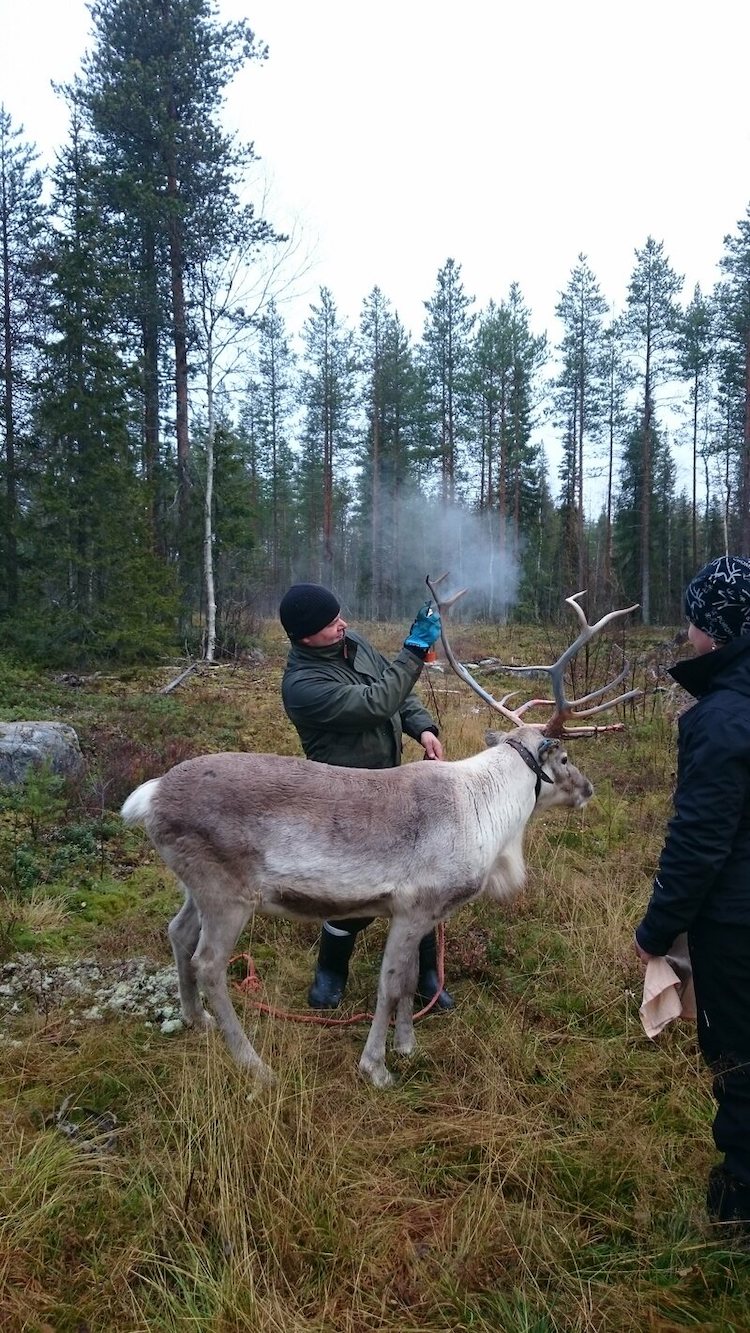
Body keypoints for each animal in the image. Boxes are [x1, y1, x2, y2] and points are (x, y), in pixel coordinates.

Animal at [120, 580, 640, 1089]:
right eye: (566, 759)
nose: (589, 789)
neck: (487, 814)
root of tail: (150, 795)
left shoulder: (419, 912)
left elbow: (409, 980)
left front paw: (407, 1044)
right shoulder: (415, 904)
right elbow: (389, 984)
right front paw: (376, 1067)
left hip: (197, 885)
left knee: (178, 932)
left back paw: (197, 1020)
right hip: (227, 892)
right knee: (208, 963)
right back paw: (255, 1064)